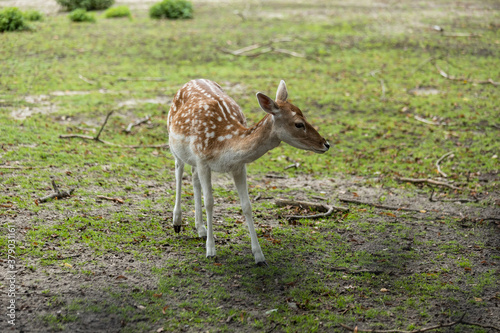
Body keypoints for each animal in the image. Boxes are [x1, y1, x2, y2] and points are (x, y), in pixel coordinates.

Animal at [168, 78, 330, 264]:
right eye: (298, 124)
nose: (326, 144)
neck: (223, 144)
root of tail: (193, 80)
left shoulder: (238, 166)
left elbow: (247, 205)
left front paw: (259, 256)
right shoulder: (202, 160)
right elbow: (209, 202)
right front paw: (211, 250)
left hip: (193, 158)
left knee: (194, 178)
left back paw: (200, 229)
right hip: (174, 143)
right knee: (179, 170)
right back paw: (177, 222)